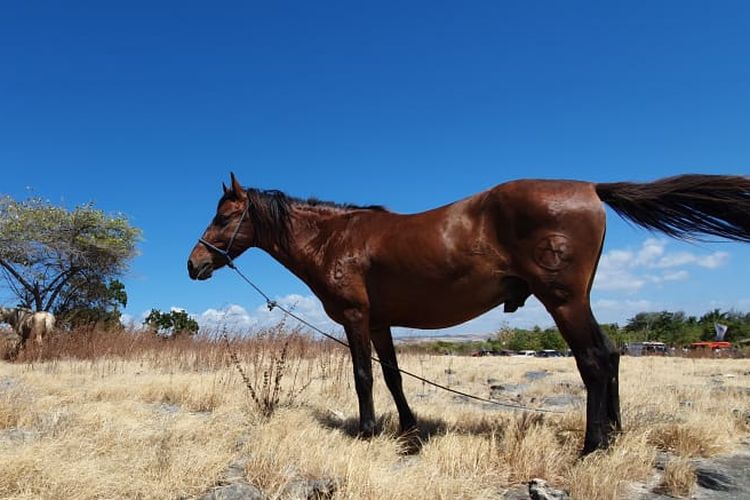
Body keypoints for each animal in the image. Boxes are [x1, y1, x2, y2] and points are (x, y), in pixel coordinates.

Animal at [188, 174, 750, 456]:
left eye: (224, 215)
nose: (193, 264)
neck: (337, 238)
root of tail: (590, 187)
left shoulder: (355, 318)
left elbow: (364, 377)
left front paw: (368, 432)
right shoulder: (381, 322)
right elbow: (392, 377)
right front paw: (409, 430)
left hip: (563, 299)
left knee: (593, 360)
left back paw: (592, 447)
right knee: (610, 356)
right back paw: (614, 435)